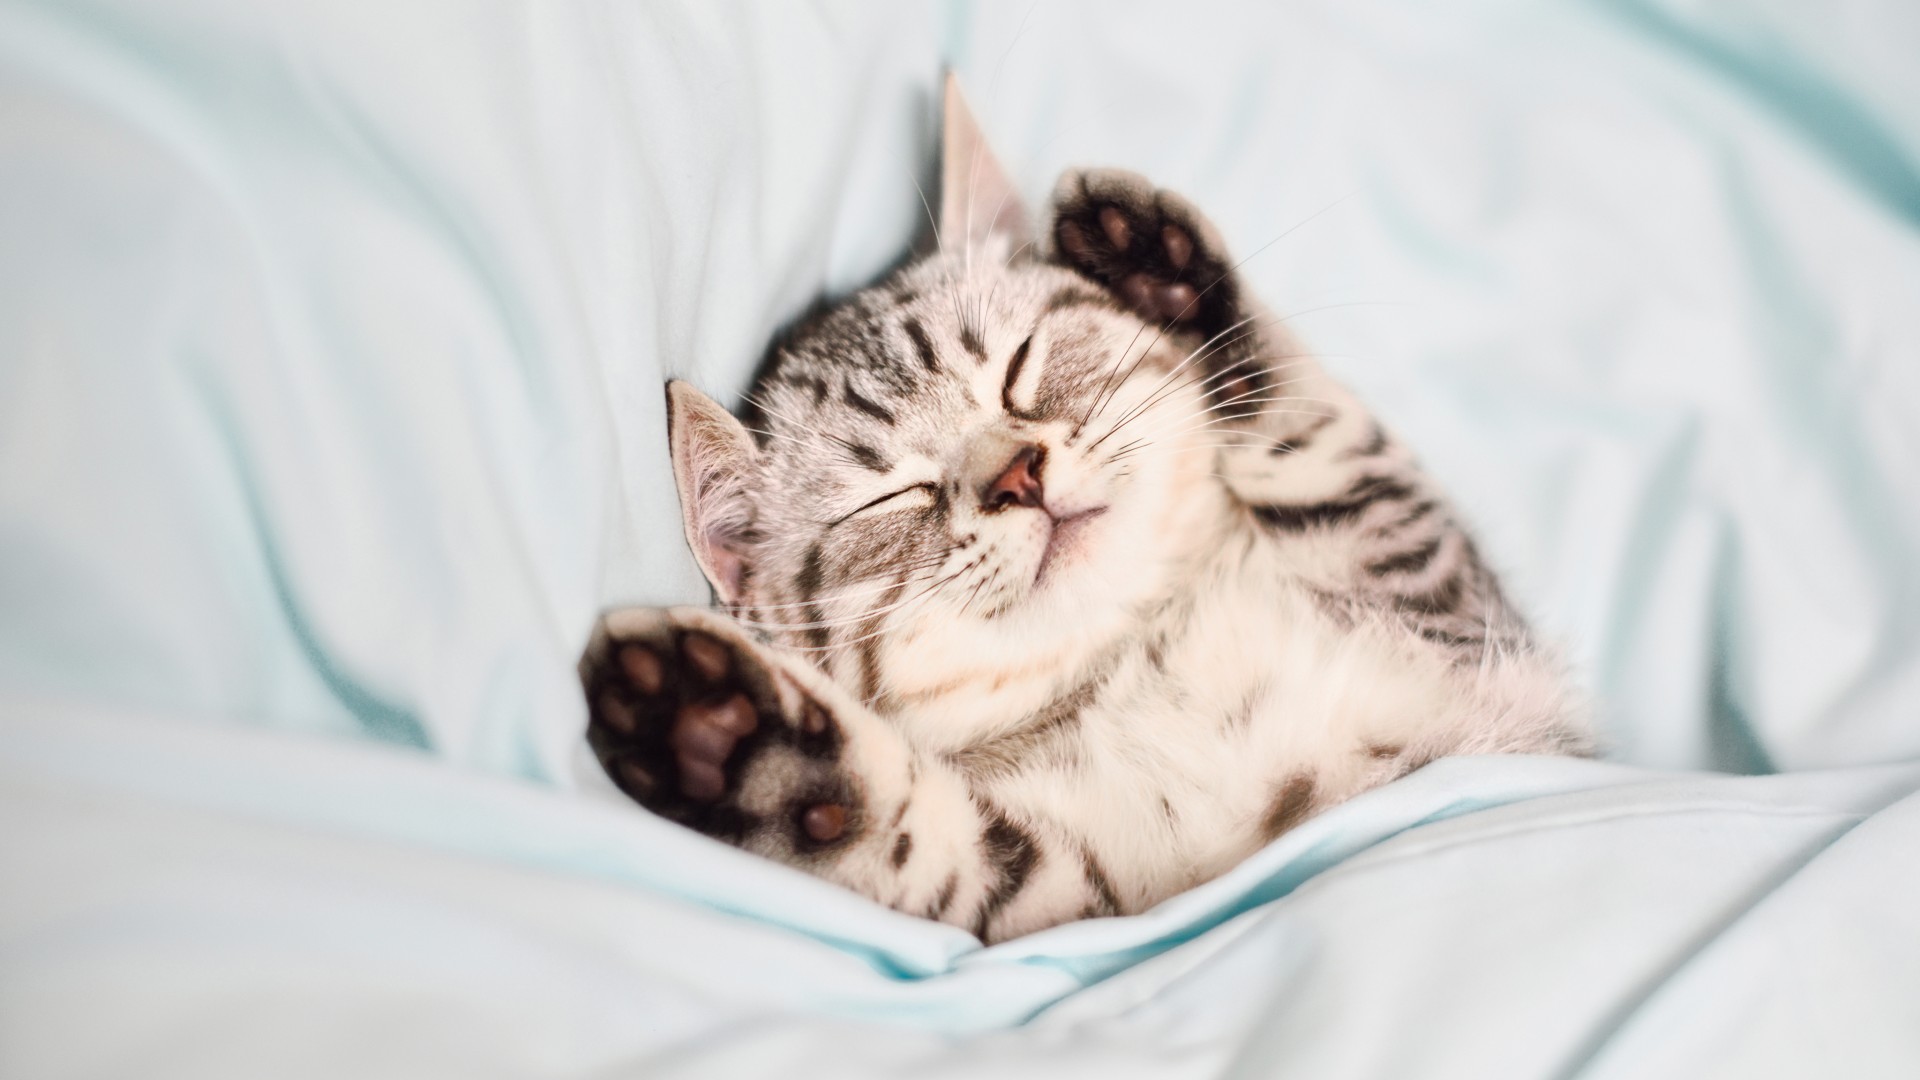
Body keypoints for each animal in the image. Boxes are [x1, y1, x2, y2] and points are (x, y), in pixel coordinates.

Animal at [579, 75, 1589, 937]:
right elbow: (918, 841)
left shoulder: (1446, 608)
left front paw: (1163, 272)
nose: (1016, 476)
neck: (1136, 655)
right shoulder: (1079, 894)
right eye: (892, 496)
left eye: (1020, 368)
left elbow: (1317, 428)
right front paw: (722, 735)